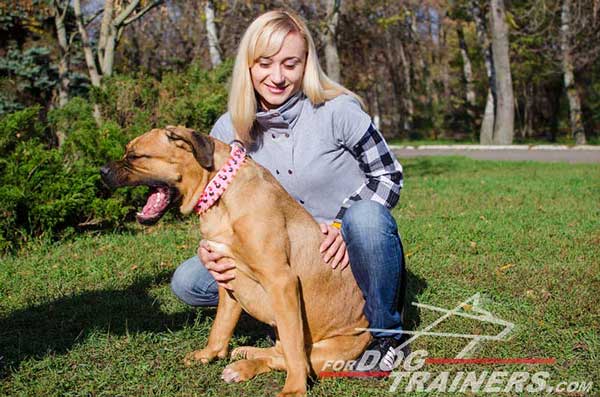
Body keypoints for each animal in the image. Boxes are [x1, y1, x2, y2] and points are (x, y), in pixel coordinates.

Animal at [101, 126, 368, 396]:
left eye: (135, 156)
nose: (102, 171)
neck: (220, 194)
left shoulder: (282, 282)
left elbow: (293, 352)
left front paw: (294, 389)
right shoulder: (226, 276)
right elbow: (220, 326)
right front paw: (210, 354)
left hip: (325, 351)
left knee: (294, 357)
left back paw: (244, 366)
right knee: (279, 351)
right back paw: (245, 355)